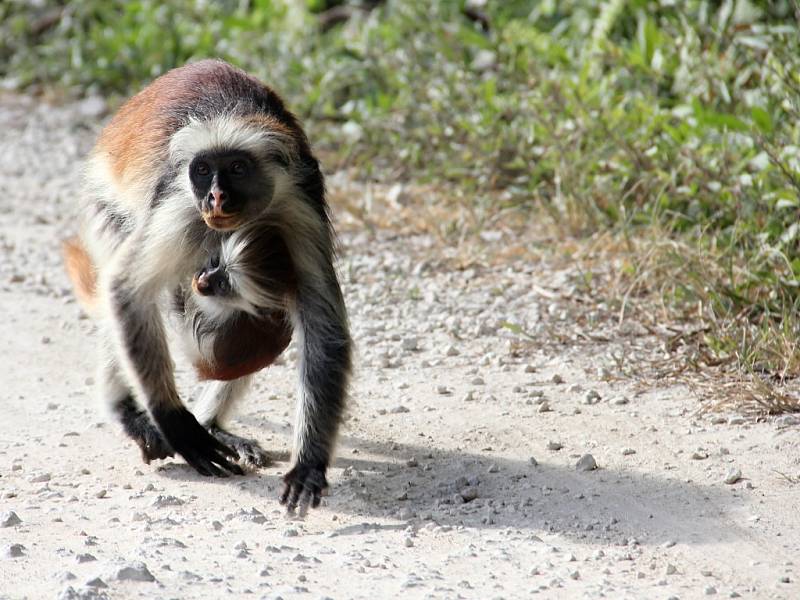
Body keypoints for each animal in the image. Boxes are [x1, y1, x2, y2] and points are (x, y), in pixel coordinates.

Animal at [67, 59, 354, 510]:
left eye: (237, 169)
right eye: (203, 171)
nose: (216, 197)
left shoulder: (298, 209)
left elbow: (324, 332)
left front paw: (309, 464)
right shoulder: (181, 207)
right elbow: (127, 289)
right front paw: (176, 424)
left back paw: (214, 425)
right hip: (104, 206)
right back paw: (130, 413)